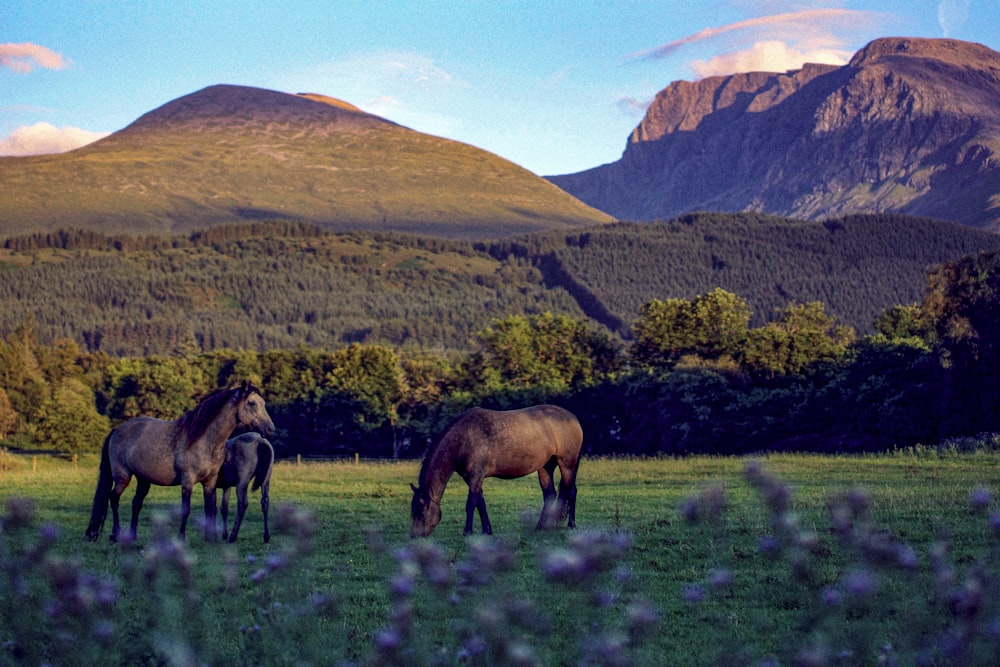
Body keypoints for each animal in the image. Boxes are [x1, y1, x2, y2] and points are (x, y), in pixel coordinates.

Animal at [84, 380, 274, 544]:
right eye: (251, 403)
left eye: (263, 403)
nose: (270, 429)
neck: (203, 440)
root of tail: (117, 430)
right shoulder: (187, 480)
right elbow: (186, 510)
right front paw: (181, 538)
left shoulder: (210, 482)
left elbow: (211, 509)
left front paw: (210, 538)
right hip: (122, 477)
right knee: (113, 498)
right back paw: (115, 535)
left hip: (143, 480)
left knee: (136, 504)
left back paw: (132, 537)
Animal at [410, 404, 584, 540]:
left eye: (420, 511)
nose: (414, 536)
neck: (465, 438)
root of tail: (573, 418)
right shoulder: (471, 478)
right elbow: (481, 503)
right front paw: (486, 531)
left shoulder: (476, 476)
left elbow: (471, 503)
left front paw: (467, 532)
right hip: (545, 466)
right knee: (550, 494)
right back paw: (541, 526)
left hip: (567, 464)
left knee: (571, 492)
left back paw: (571, 525)